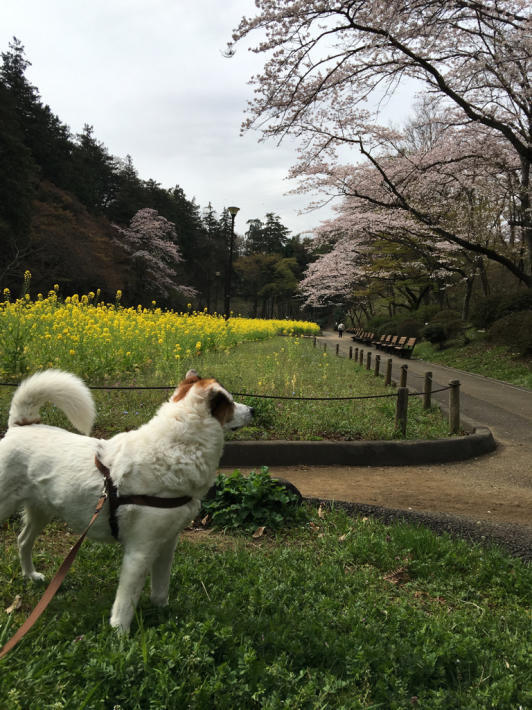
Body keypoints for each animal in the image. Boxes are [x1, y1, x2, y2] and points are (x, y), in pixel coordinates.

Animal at [0, 370, 254, 632]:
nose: (253, 410)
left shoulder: (167, 543)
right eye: (230, 402)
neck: (175, 449)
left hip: (41, 510)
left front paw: (162, 612)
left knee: (23, 540)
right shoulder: (140, 551)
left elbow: (160, 587)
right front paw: (120, 633)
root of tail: (21, 425)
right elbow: (126, 601)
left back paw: (30, 576)